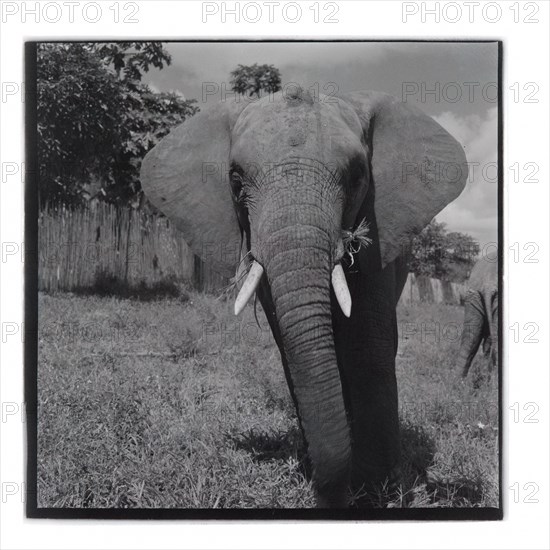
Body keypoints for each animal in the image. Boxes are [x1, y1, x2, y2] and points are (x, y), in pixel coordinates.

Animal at [140, 86, 468, 508]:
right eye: (235, 179)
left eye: (358, 176)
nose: (330, 497)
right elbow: (290, 345)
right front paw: (325, 473)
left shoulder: (379, 232)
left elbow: (367, 344)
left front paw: (377, 490)